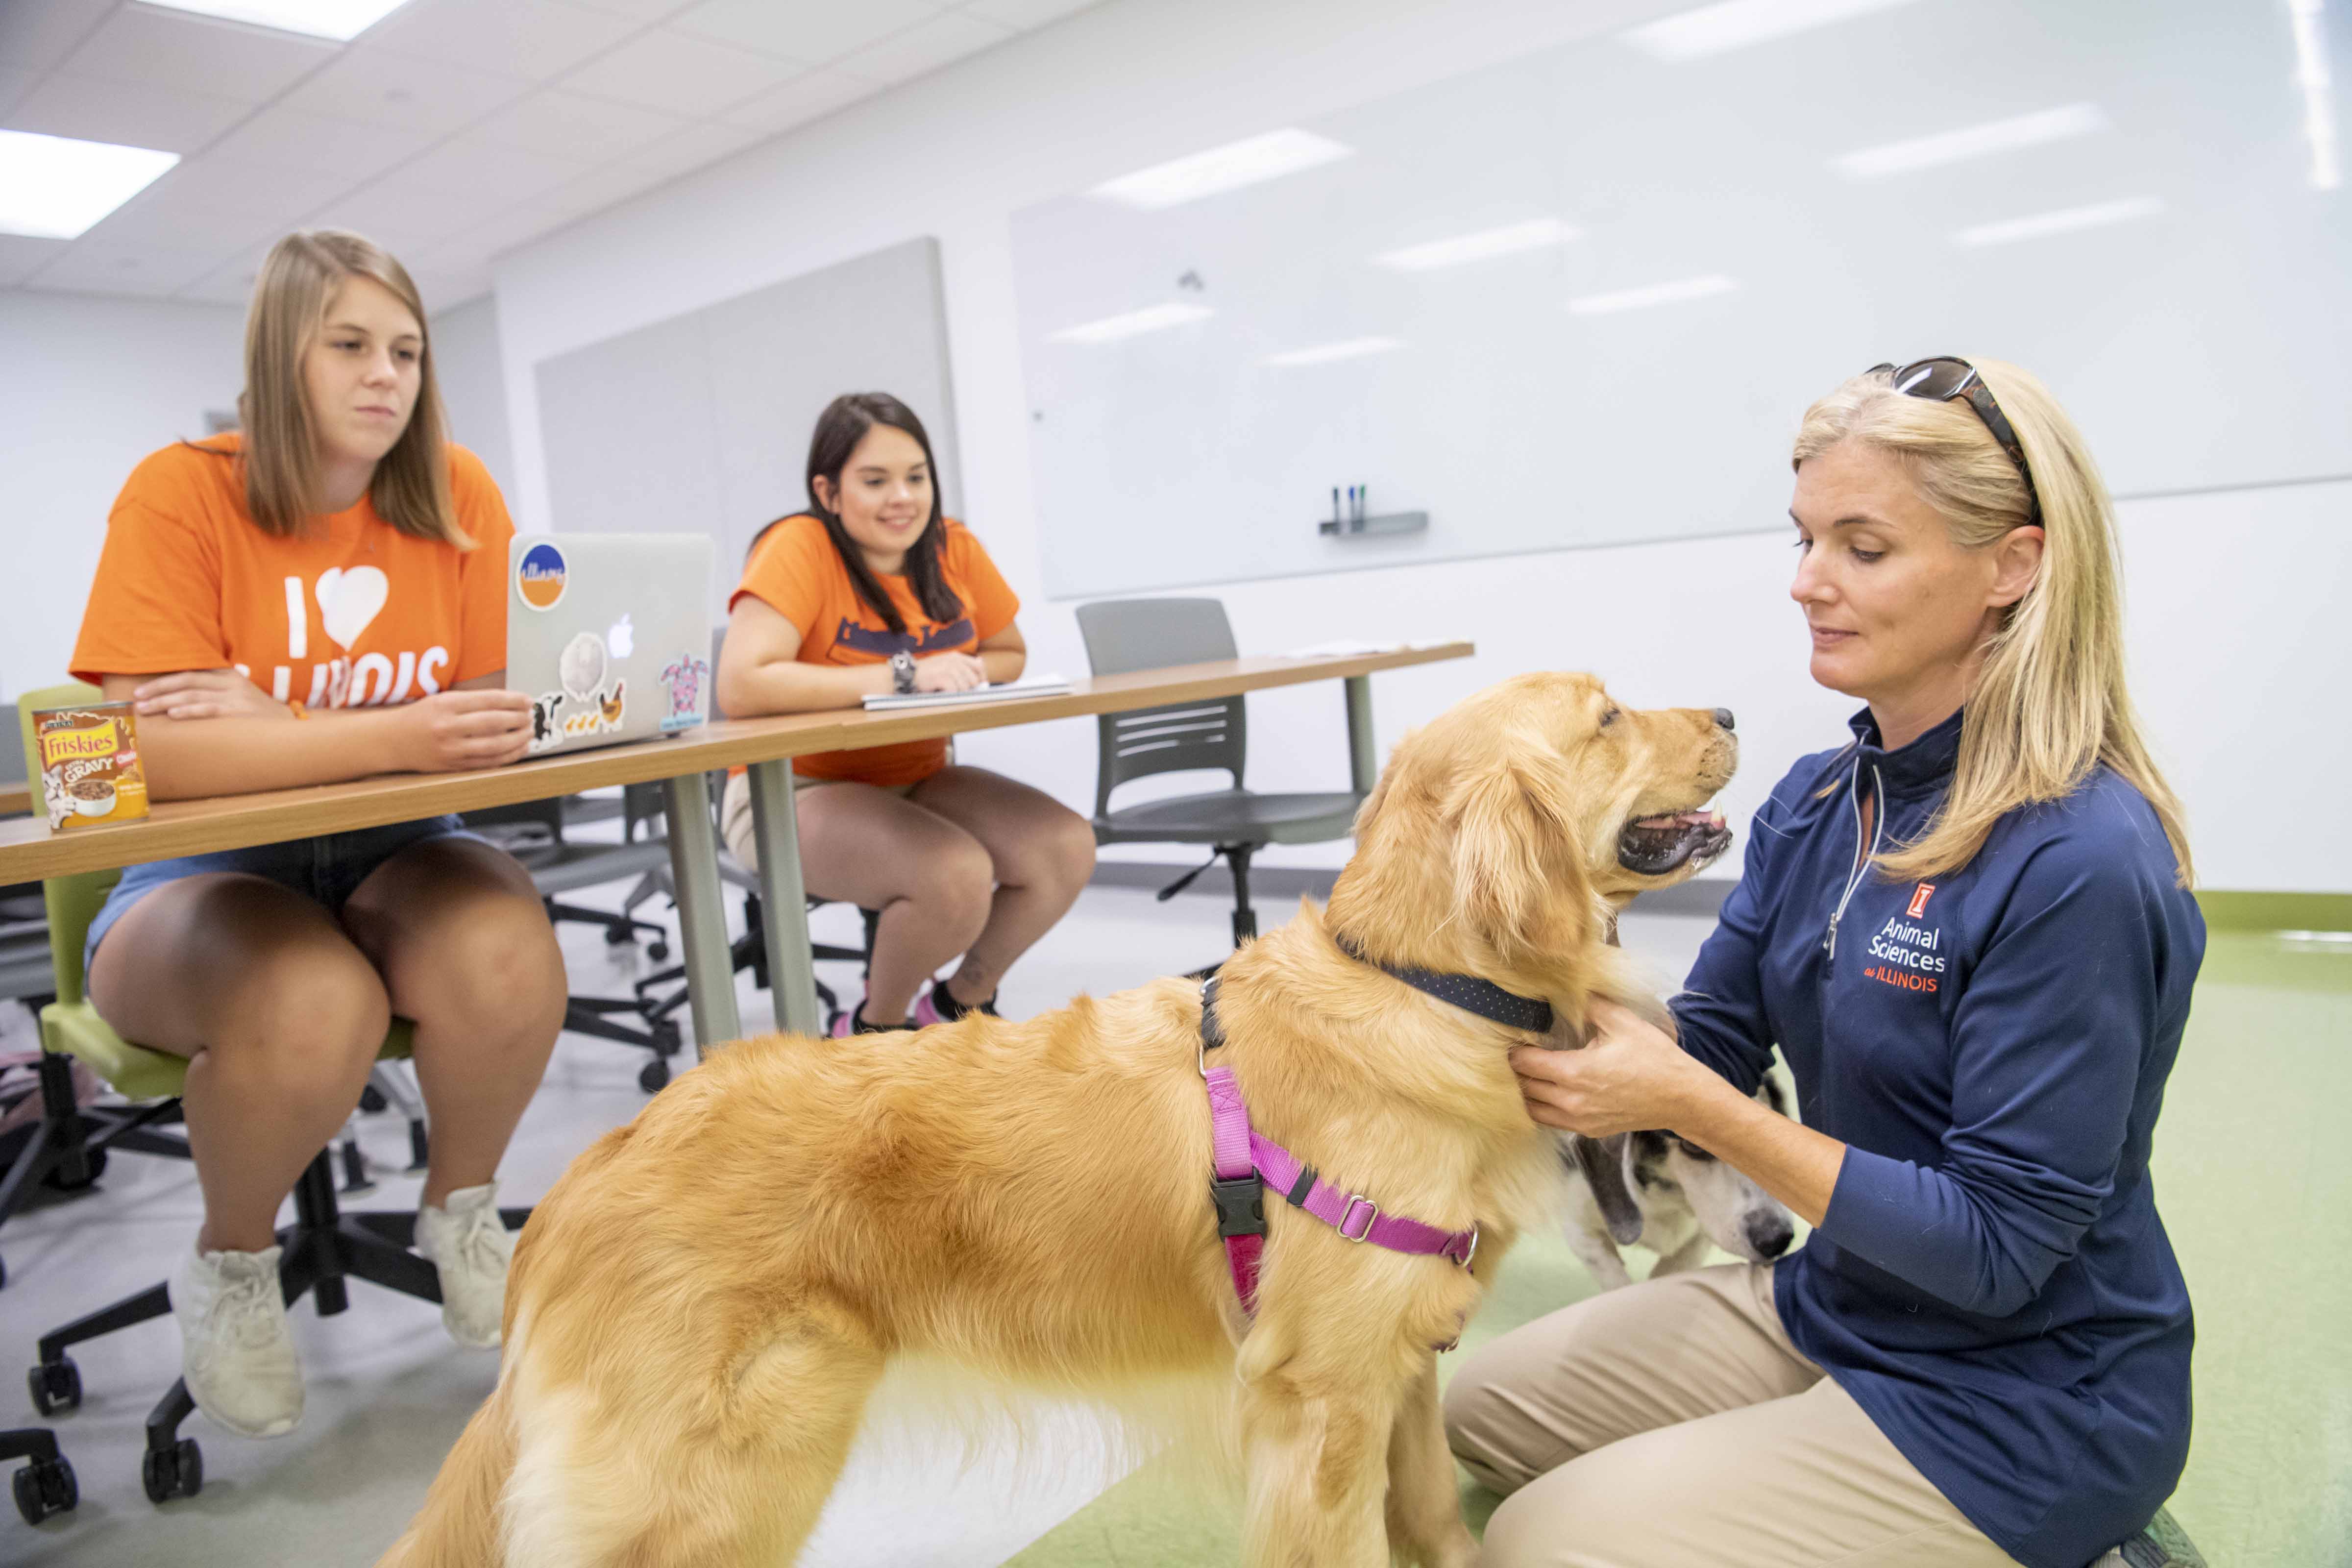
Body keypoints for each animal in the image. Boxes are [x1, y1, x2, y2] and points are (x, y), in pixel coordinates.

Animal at [386, 672, 1740, 1568]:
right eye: (1606, 716)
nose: (1730, 713)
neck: (1418, 982)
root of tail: (580, 1178)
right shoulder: (1317, 1406)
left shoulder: (1399, 1367)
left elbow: (1434, 1525)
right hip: (717, 1485)